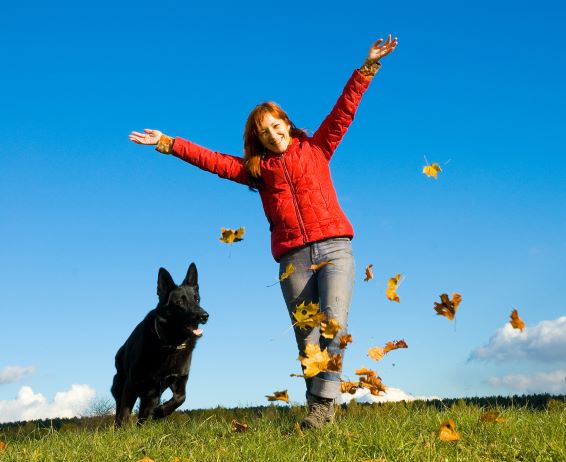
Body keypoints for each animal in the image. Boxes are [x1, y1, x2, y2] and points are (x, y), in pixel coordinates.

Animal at [111, 264, 209, 426]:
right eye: (180, 302)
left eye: (197, 299)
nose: (205, 316)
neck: (170, 345)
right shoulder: (132, 384)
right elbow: (125, 413)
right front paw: (124, 430)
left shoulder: (178, 381)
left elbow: (181, 398)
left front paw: (159, 412)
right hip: (121, 384)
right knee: (120, 411)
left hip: (152, 395)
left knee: (143, 415)